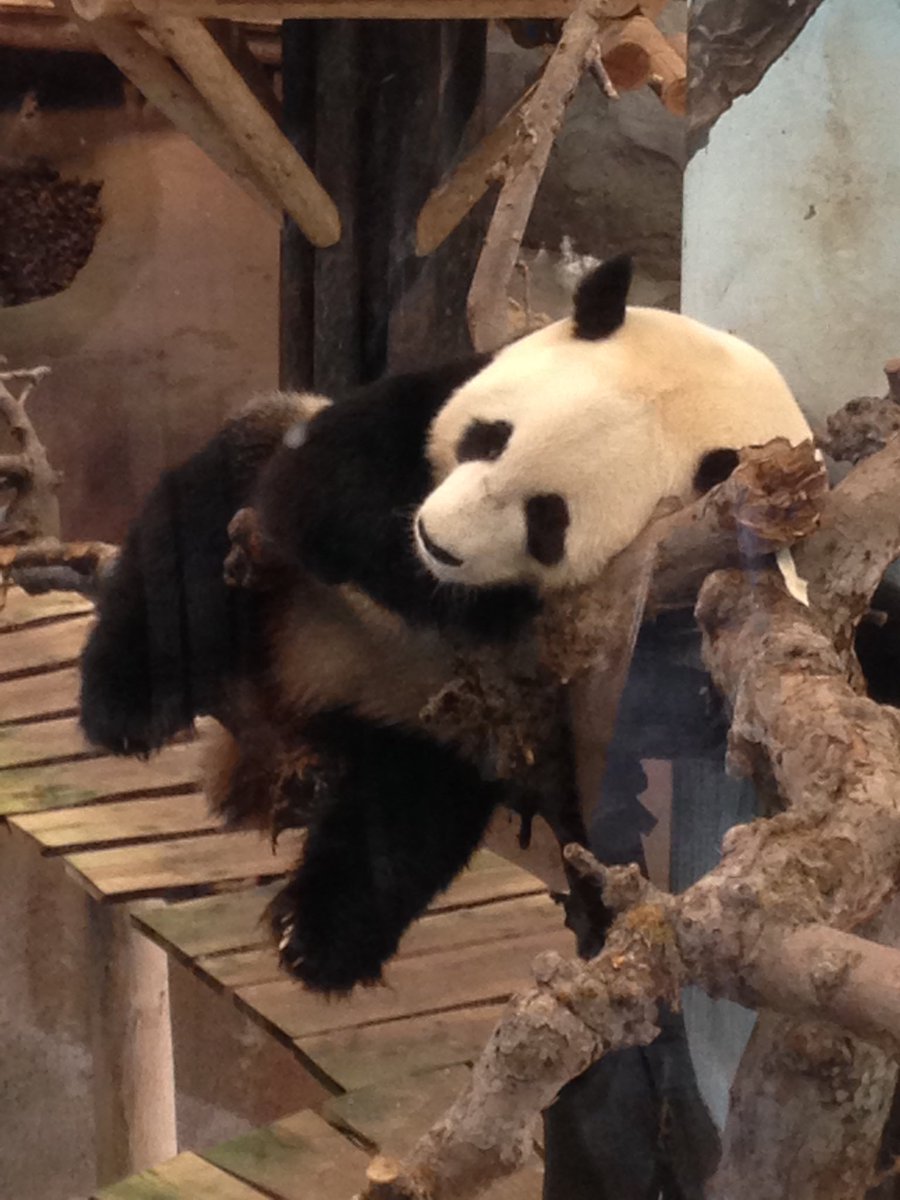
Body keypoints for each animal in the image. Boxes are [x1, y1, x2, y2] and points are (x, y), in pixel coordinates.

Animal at [84, 254, 848, 997]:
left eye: (548, 520)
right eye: (489, 439)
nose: (437, 541)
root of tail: (284, 715)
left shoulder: (689, 588)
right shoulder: (441, 389)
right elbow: (324, 476)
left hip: (444, 726)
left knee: (410, 814)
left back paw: (320, 938)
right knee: (213, 500)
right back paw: (125, 701)